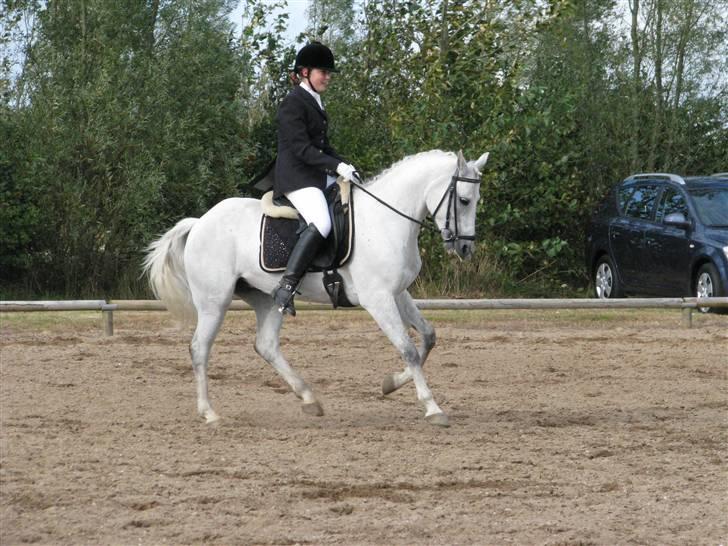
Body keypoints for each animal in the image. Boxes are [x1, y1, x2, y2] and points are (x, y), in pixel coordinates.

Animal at [143, 149, 489, 427]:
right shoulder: (378, 299)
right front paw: (433, 408)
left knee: (266, 345)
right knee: (199, 348)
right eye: (463, 200)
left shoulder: (398, 293)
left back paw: (309, 399)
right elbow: (408, 349)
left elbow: (428, 337)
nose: (466, 249)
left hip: (267, 298)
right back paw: (210, 413)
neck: (386, 220)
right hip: (214, 302)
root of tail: (199, 222)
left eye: (476, 201)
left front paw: (390, 384)